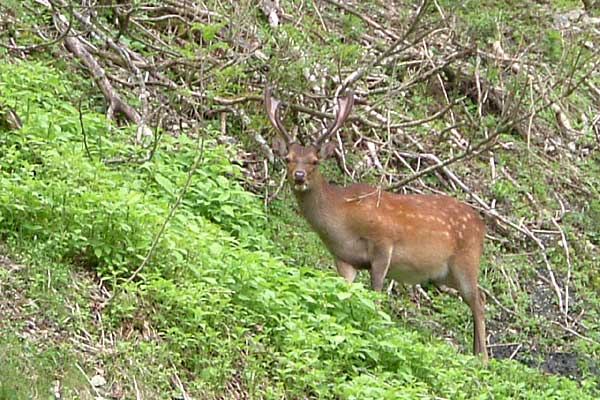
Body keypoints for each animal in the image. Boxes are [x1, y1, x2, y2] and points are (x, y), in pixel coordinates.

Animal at [266, 87, 488, 362]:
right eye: (287, 158)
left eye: (315, 161)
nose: (299, 176)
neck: (343, 220)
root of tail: (482, 224)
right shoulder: (344, 258)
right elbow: (347, 292)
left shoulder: (384, 243)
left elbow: (377, 294)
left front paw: (378, 330)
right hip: (445, 274)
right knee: (477, 298)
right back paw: (475, 353)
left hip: (467, 260)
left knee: (478, 301)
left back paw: (484, 358)